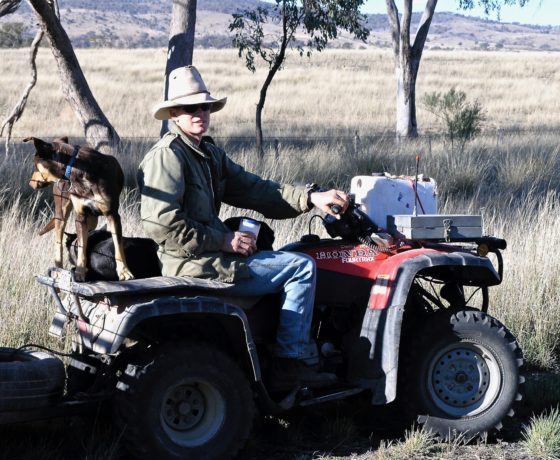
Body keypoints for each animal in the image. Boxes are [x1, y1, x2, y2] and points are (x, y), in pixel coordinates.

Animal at [27, 136, 135, 280]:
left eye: (35, 166)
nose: (30, 183)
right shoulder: (80, 216)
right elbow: (81, 246)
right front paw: (79, 272)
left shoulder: (112, 214)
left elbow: (118, 245)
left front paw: (124, 271)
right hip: (61, 212)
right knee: (59, 241)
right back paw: (58, 269)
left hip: (93, 220)